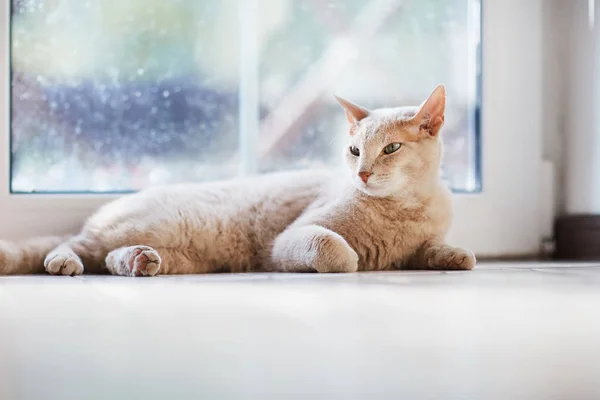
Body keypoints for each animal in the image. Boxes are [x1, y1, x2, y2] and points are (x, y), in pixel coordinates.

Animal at [1, 85, 478, 276]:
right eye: (355, 151)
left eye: (391, 149)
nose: (361, 173)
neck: (404, 209)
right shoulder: (289, 240)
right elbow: (333, 249)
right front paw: (353, 258)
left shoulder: (420, 242)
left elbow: (434, 249)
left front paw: (456, 255)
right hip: (145, 224)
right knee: (78, 247)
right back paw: (65, 262)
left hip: (181, 256)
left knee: (109, 259)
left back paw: (139, 261)